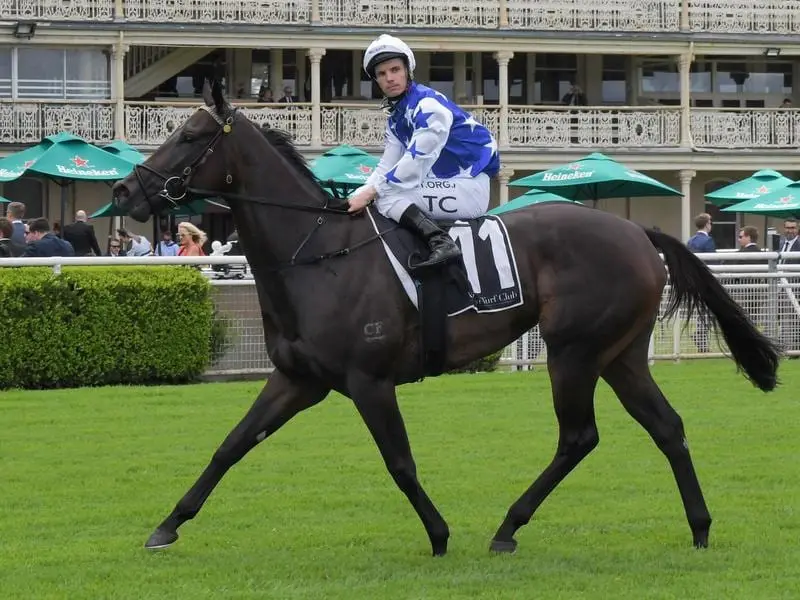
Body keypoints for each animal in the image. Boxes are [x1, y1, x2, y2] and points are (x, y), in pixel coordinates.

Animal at [109, 81, 780, 556]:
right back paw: (699, 527)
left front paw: (438, 534)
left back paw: (509, 526)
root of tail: (639, 232)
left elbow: (400, 463)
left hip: (575, 351)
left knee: (579, 437)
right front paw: (167, 525)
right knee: (666, 427)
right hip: (621, 353)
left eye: (191, 135)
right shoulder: (297, 379)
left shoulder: (368, 381)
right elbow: (229, 446)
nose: (123, 192)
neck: (316, 254)